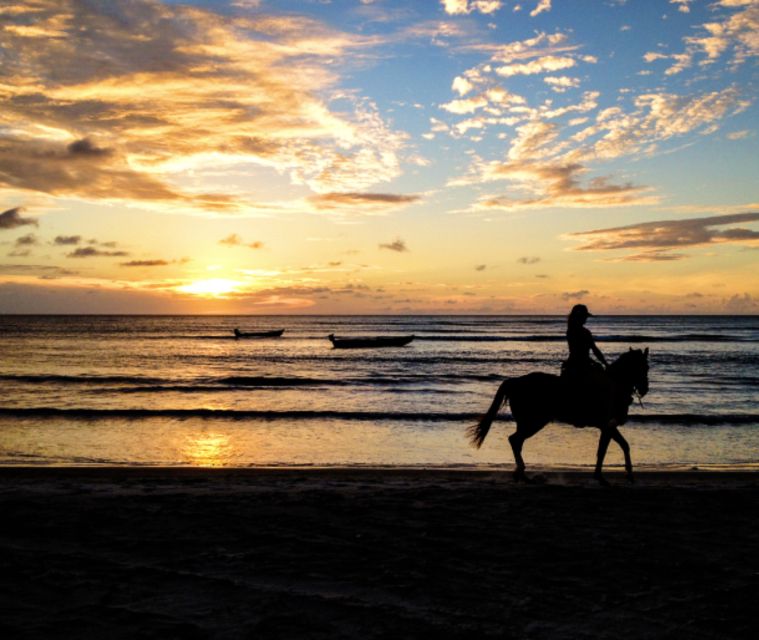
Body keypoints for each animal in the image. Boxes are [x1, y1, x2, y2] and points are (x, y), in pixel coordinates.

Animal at [470, 350, 652, 484]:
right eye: (643, 367)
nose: (644, 389)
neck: (614, 386)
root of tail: (515, 382)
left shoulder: (607, 426)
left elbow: (623, 445)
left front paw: (629, 475)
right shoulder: (607, 426)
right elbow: (603, 450)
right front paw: (601, 478)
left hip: (527, 423)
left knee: (517, 442)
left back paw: (521, 475)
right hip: (533, 422)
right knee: (515, 440)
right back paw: (522, 473)